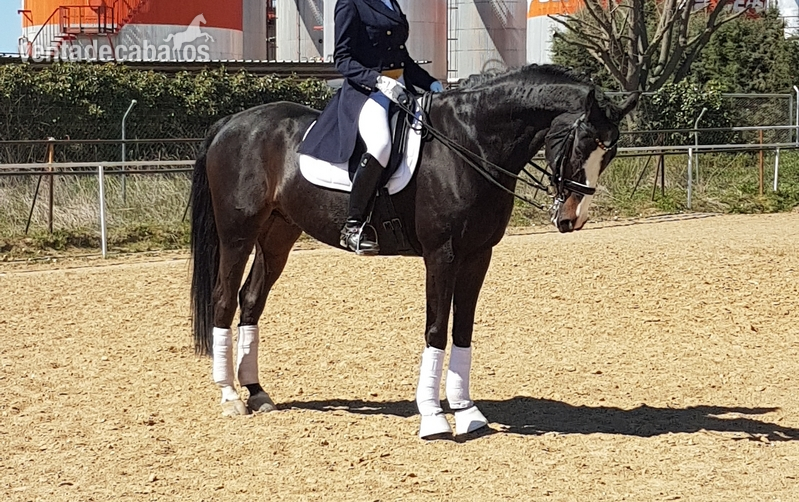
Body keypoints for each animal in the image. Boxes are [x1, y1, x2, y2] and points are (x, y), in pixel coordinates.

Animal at [189, 64, 638, 439]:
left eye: (611, 151)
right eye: (582, 144)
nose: (572, 218)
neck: (470, 143)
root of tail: (233, 122)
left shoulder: (479, 255)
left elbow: (463, 329)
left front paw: (467, 412)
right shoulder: (442, 254)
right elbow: (436, 329)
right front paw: (434, 417)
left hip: (278, 233)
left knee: (251, 300)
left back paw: (257, 392)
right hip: (237, 234)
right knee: (224, 299)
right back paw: (231, 397)